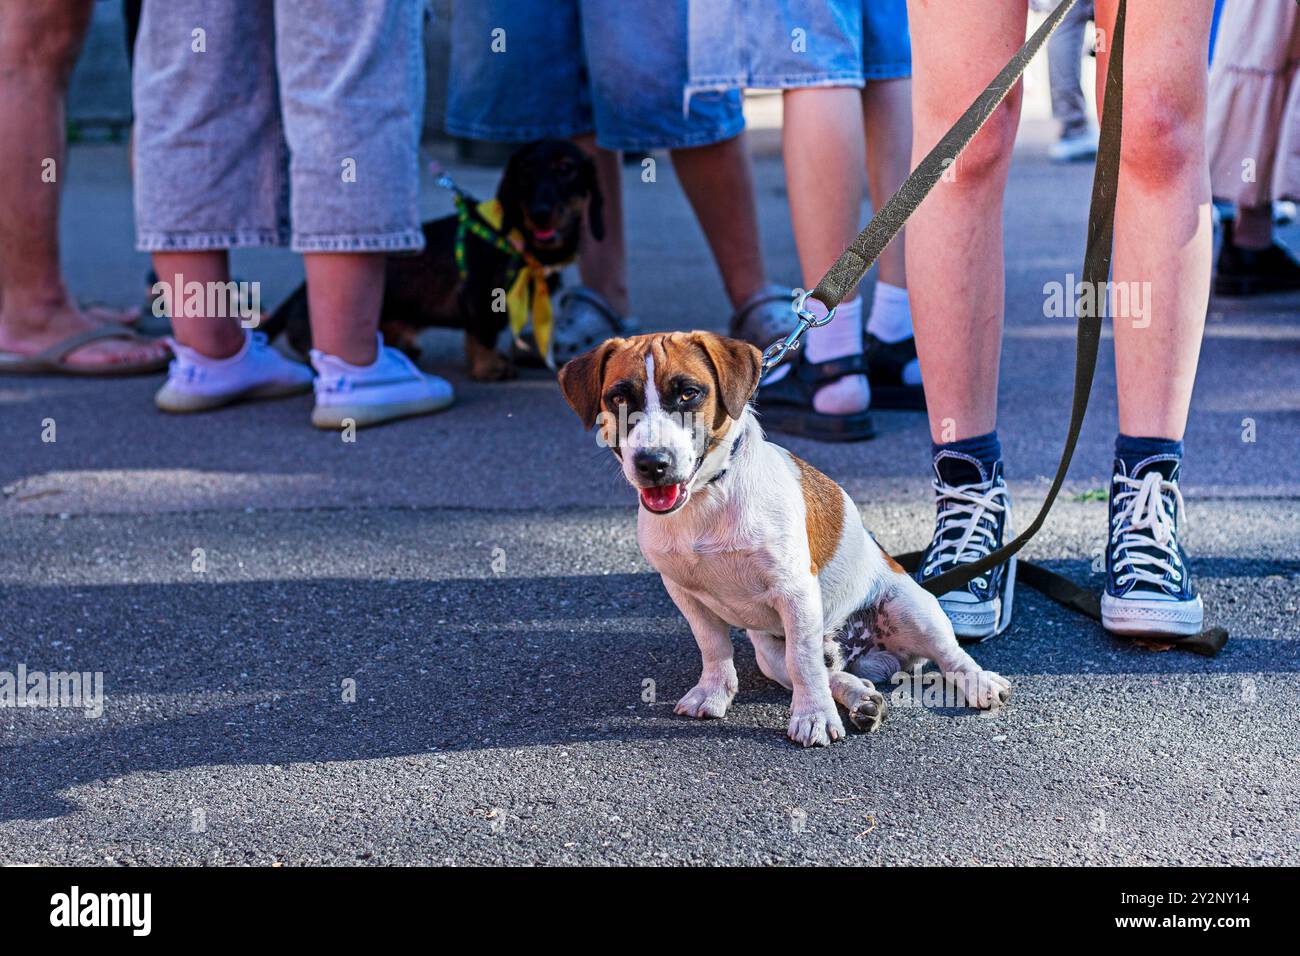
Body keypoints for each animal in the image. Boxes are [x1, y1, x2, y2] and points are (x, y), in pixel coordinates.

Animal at [553, 335, 1008, 749]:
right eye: (618, 398)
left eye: (688, 393)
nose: (652, 463)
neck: (707, 497)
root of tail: (860, 648)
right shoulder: (684, 592)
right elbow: (713, 645)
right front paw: (714, 691)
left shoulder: (796, 590)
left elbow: (804, 661)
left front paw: (814, 718)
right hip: (769, 654)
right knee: (830, 672)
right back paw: (859, 697)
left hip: (913, 608)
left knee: (947, 655)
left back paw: (979, 683)